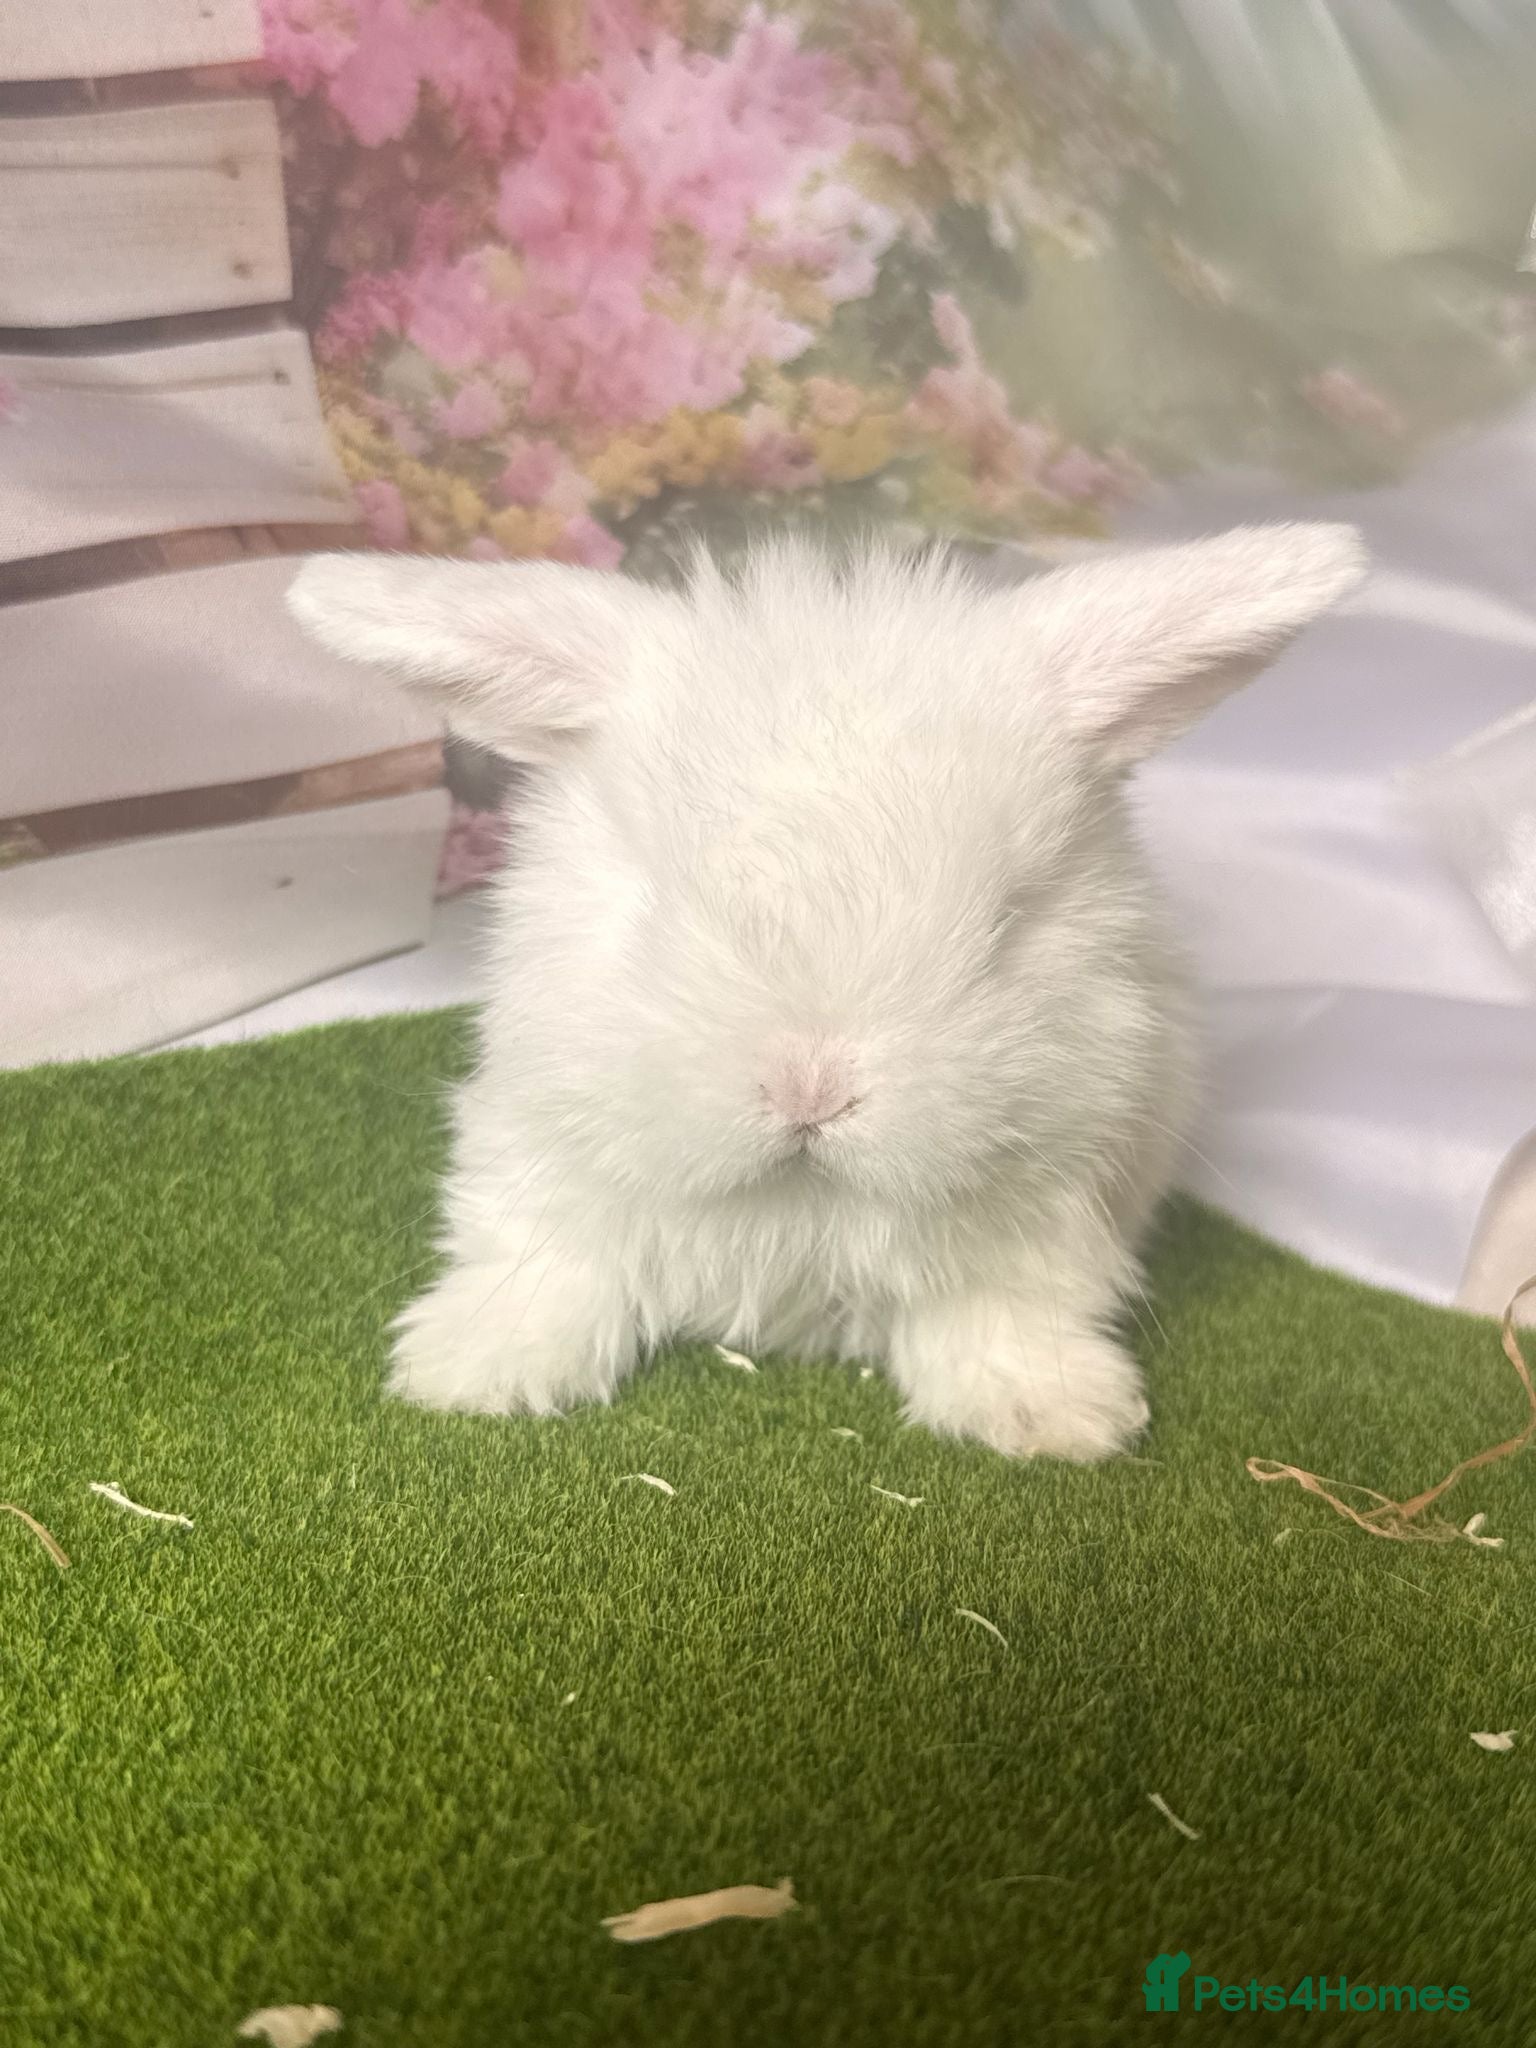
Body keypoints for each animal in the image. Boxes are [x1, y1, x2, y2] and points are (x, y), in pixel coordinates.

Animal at [288, 524, 1364, 1460]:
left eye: (1009, 920)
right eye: (654, 897)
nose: (810, 1090)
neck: (799, 1209)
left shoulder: (1060, 1198)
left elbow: (1006, 1313)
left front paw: (1051, 1416)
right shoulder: (536, 1146)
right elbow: (546, 1263)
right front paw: (471, 1372)